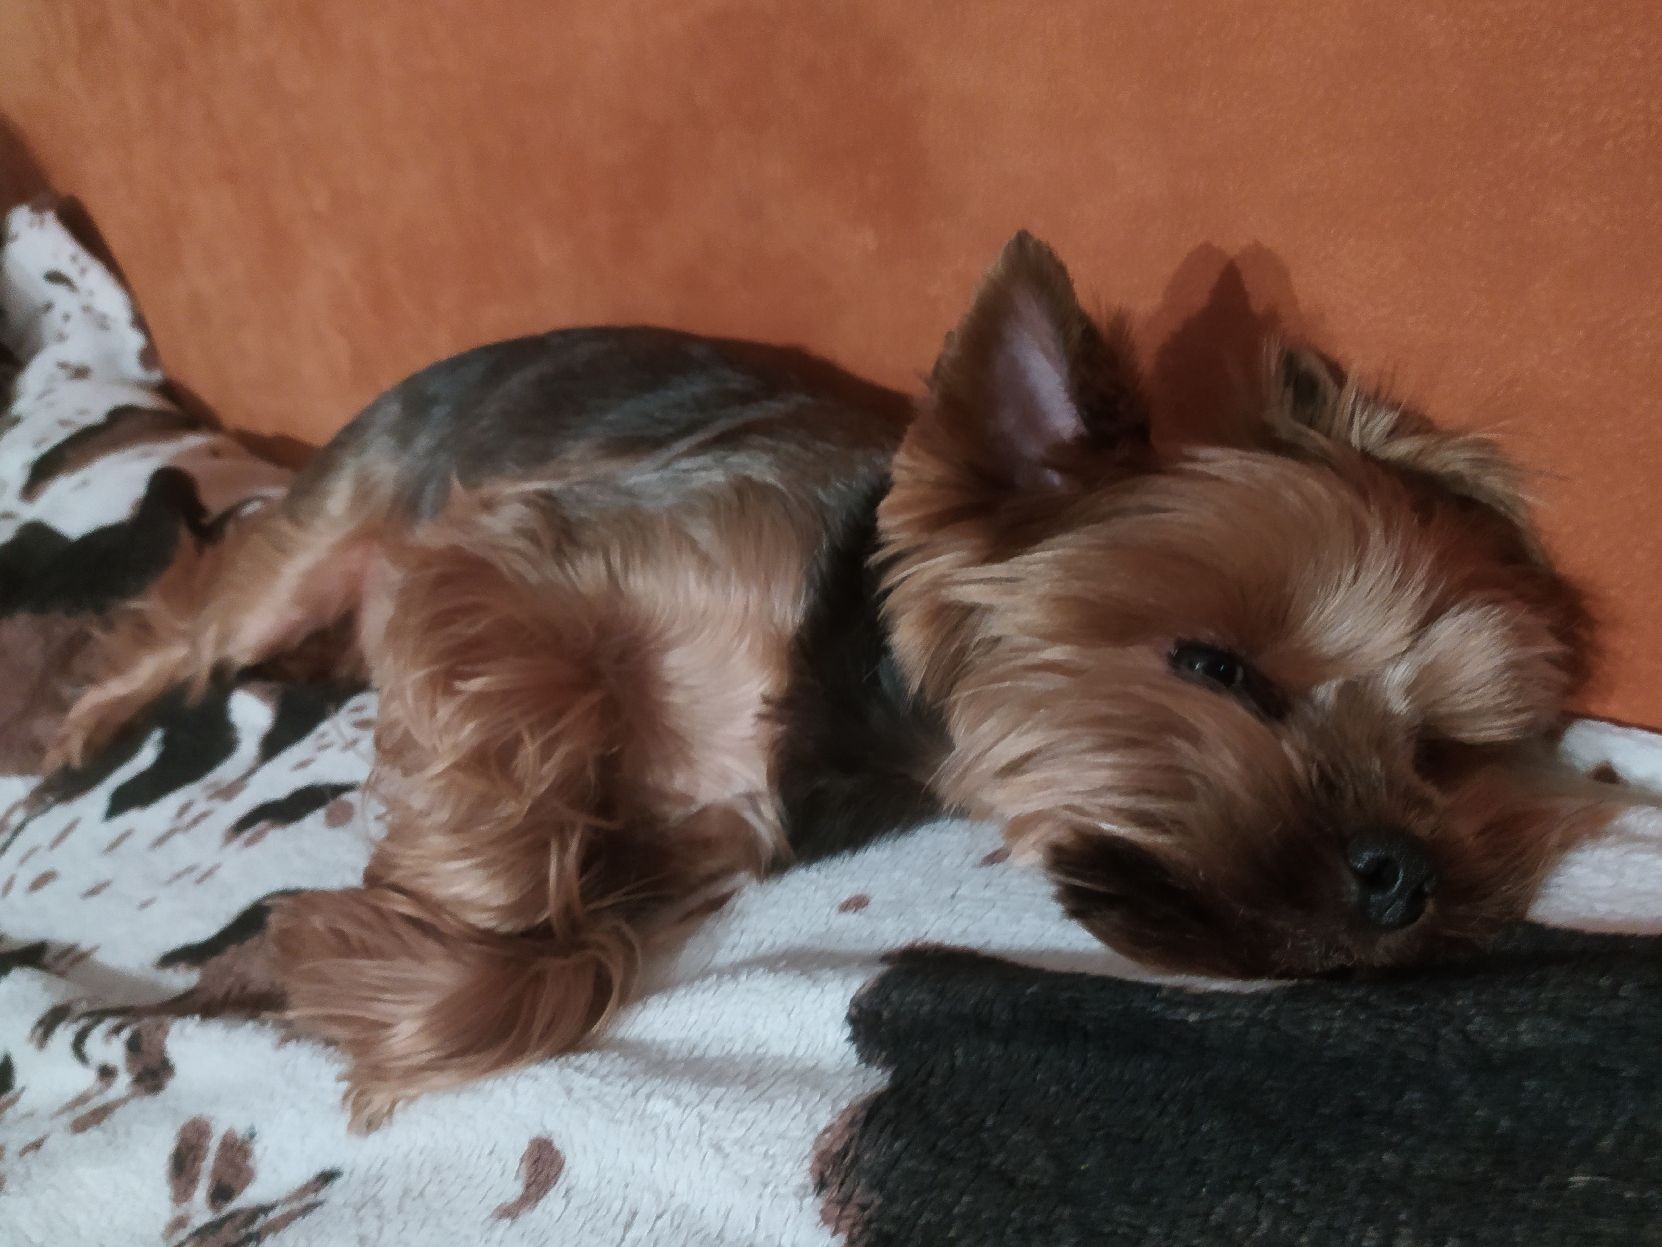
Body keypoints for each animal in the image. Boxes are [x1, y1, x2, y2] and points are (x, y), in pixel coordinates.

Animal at [51, 233, 1620, 1128]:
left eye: (1443, 749)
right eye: (1214, 665)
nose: (1400, 871)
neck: (844, 693)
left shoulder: (697, 830)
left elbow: (571, 945)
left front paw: (366, 967)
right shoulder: (511, 559)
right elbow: (518, 788)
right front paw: (396, 957)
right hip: (341, 522)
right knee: (186, 613)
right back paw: (71, 725)